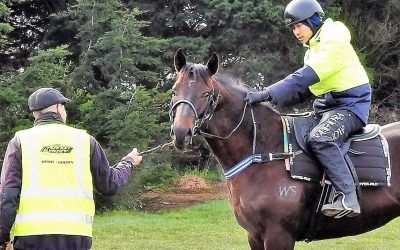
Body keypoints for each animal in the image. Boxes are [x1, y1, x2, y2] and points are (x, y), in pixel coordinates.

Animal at [170, 47, 400, 249]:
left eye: (206, 94)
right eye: (174, 91)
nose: (181, 132)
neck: (264, 152)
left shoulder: (278, 235)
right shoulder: (254, 236)